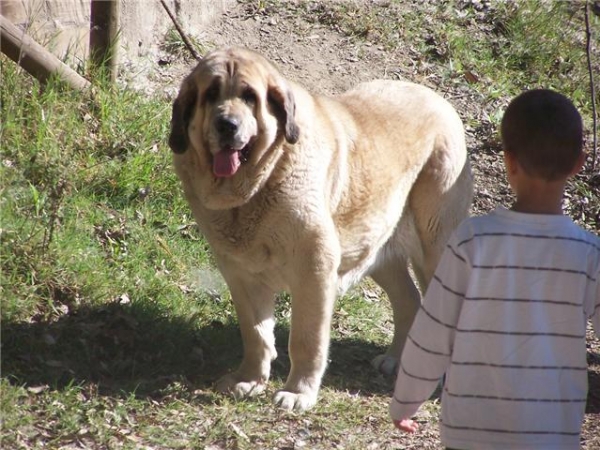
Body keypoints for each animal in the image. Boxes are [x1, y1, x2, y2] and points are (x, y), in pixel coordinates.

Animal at [169, 46, 474, 412]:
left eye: (249, 96)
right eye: (211, 94)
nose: (227, 125)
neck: (255, 188)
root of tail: (440, 100)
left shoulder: (314, 267)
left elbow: (306, 338)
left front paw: (298, 392)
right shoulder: (240, 274)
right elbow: (255, 333)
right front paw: (248, 379)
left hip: (435, 245)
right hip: (375, 248)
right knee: (409, 299)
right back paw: (397, 360)